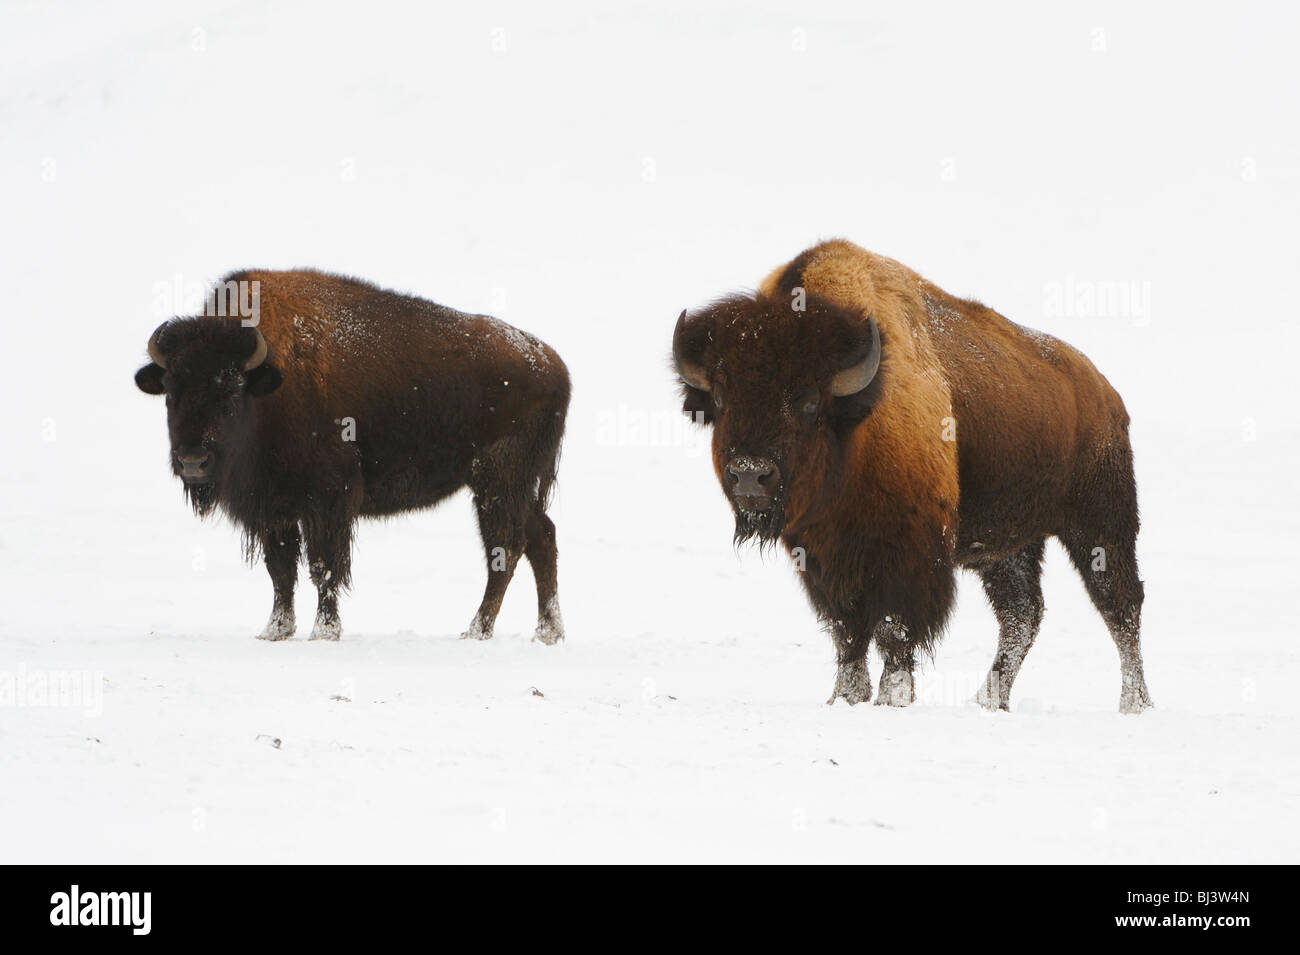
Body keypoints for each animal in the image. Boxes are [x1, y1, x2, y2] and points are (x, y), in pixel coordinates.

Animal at [135, 269, 570, 644]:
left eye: (230, 392)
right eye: (171, 392)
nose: (193, 462)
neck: (269, 385)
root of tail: (553, 365)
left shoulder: (327, 501)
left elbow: (322, 567)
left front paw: (324, 632)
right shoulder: (275, 510)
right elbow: (281, 571)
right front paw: (275, 630)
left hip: (497, 483)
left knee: (506, 549)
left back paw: (477, 631)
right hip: (514, 488)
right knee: (541, 537)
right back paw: (547, 632)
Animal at [673, 239, 1151, 713]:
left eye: (810, 401)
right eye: (721, 398)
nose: (750, 475)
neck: (855, 424)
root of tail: (1105, 394)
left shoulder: (908, 554)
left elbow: (893, 629)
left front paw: (892, 698)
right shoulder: (822, 556)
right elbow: (847, 632)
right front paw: (845, 697)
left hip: (1100, 526)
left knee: (1120, 606)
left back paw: (1134, 703)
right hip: (1008, 548)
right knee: (1022, 613)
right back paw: (987, 700)